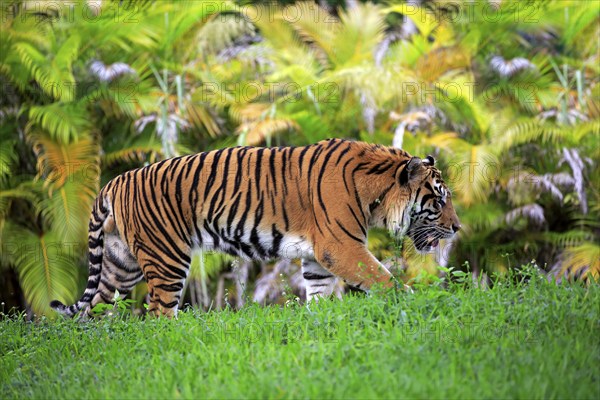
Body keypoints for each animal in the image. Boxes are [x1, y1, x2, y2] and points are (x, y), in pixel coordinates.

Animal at [51, 139, 460, 318]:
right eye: (439, 202)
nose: (457, 228)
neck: (376, 189)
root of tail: (115, 181)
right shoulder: (340, 247)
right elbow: (385, 280)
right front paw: (420, 305)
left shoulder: (319, 257)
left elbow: (320, 295)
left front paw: (322, 326)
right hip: (166, 259)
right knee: (159, 313)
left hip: (121, 266)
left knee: (92, 312)